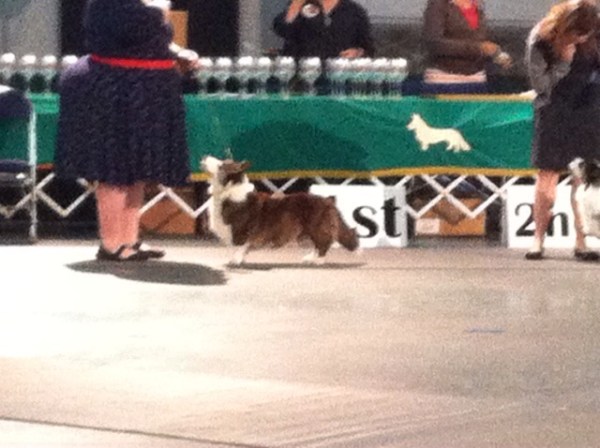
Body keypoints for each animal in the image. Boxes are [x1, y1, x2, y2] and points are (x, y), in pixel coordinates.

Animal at [202, 156, 359, 265]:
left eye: (221, 165)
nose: (204, 157)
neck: (229, 189)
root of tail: (328, 200)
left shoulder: (240, 231)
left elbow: (240, 246)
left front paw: (236, 260)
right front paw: (239, 259)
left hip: (317, 227)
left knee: (323, 244)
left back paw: (318, 260)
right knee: (317, 245)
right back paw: (309, 258)